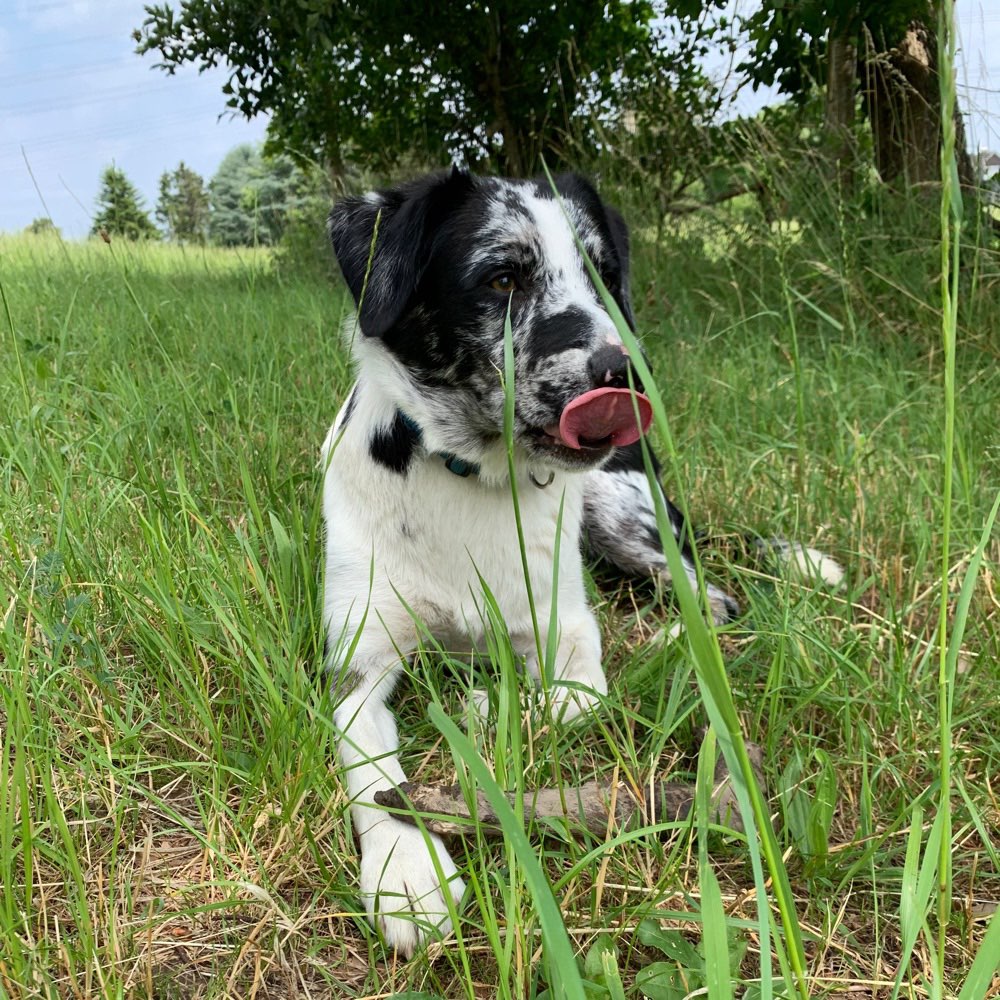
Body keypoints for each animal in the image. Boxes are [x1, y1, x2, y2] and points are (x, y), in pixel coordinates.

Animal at [324, 168, 840, 956]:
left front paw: (488, 704)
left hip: (619, 508)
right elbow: (375, 772)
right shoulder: (359, 664)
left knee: (711, 595)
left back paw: (668, 640)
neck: (470, 478)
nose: (627, 372)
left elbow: (572, 695)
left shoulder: (566, 635)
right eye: (503, 277)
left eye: (602, 272)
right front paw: (407, 874)